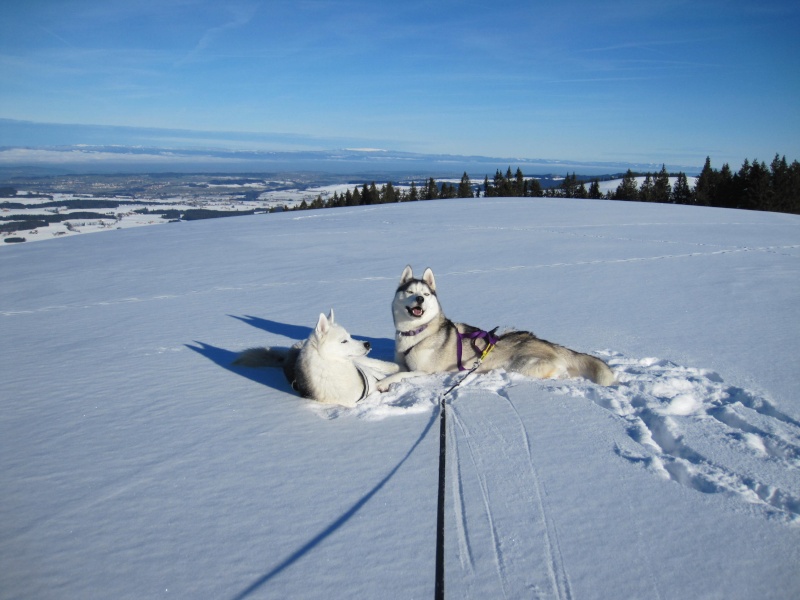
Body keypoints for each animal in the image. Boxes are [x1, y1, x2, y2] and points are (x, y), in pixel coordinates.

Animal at [234, 310, 404, 408]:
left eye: (350, 336)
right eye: (344, 341)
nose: (367, 344)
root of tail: (290, 353)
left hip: (363, 362)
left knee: (380, 365)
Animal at [390, 264, 616, 386]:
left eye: (426, 294)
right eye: (410, 292)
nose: (420, 299)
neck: (417, 332)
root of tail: (543, 342)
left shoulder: (424, 372)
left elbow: (399, 375)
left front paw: (384, 384)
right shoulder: (403, 362)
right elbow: (394, 368)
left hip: (524, 365)